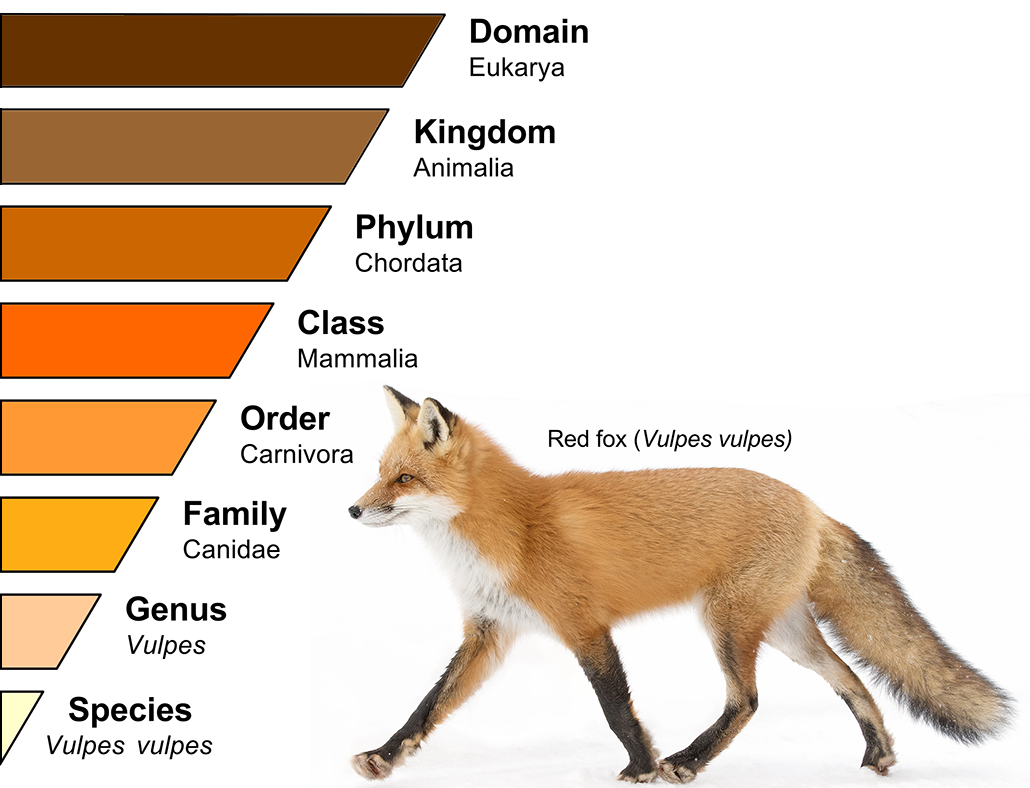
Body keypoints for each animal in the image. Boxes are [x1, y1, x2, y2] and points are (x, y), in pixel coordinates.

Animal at [348, 387, 1012, 783]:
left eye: (404, 479)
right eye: (379, 473)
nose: (353, 511)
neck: (511, 528)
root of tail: (812, 505)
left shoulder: (584, 626)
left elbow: (616, 709)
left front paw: (641, 765)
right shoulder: (490, 631)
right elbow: (428, 705)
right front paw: (385, 755)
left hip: (727, 624)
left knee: (747, 700)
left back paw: (688, 761)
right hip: (786, 634)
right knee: (850, 680)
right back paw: (878, 754)